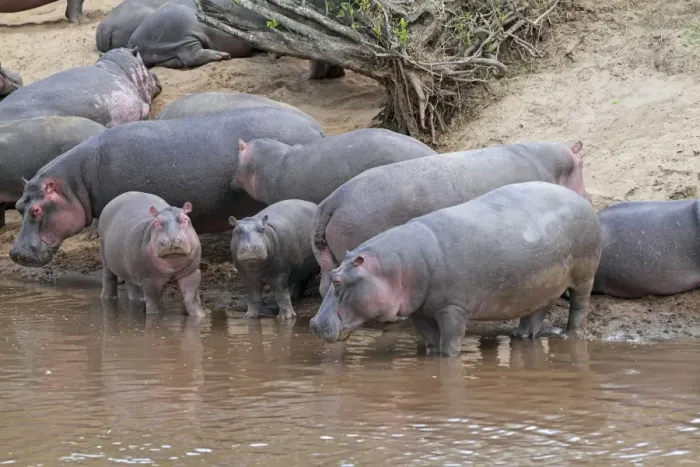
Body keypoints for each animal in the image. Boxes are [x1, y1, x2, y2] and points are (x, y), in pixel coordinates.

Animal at [310, 182, 602, 356]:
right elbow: (430, 340)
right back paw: (521, 336)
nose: (312, 324)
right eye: (332, 274)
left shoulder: (453, 308)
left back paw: (572, 334)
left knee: (579, 305)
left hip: (584, 274)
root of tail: (579, 198)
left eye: (337, 281)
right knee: (537, 309)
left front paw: (449, 358)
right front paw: (431, 355)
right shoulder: (420, 310)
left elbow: (450, 344)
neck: (396, 266)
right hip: (542, 282)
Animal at [312, 141, 588, 297]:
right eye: (583, 165)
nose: (588, 197)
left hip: (328, 258)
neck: (556, 168)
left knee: (325, 288)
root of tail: (331, 201)